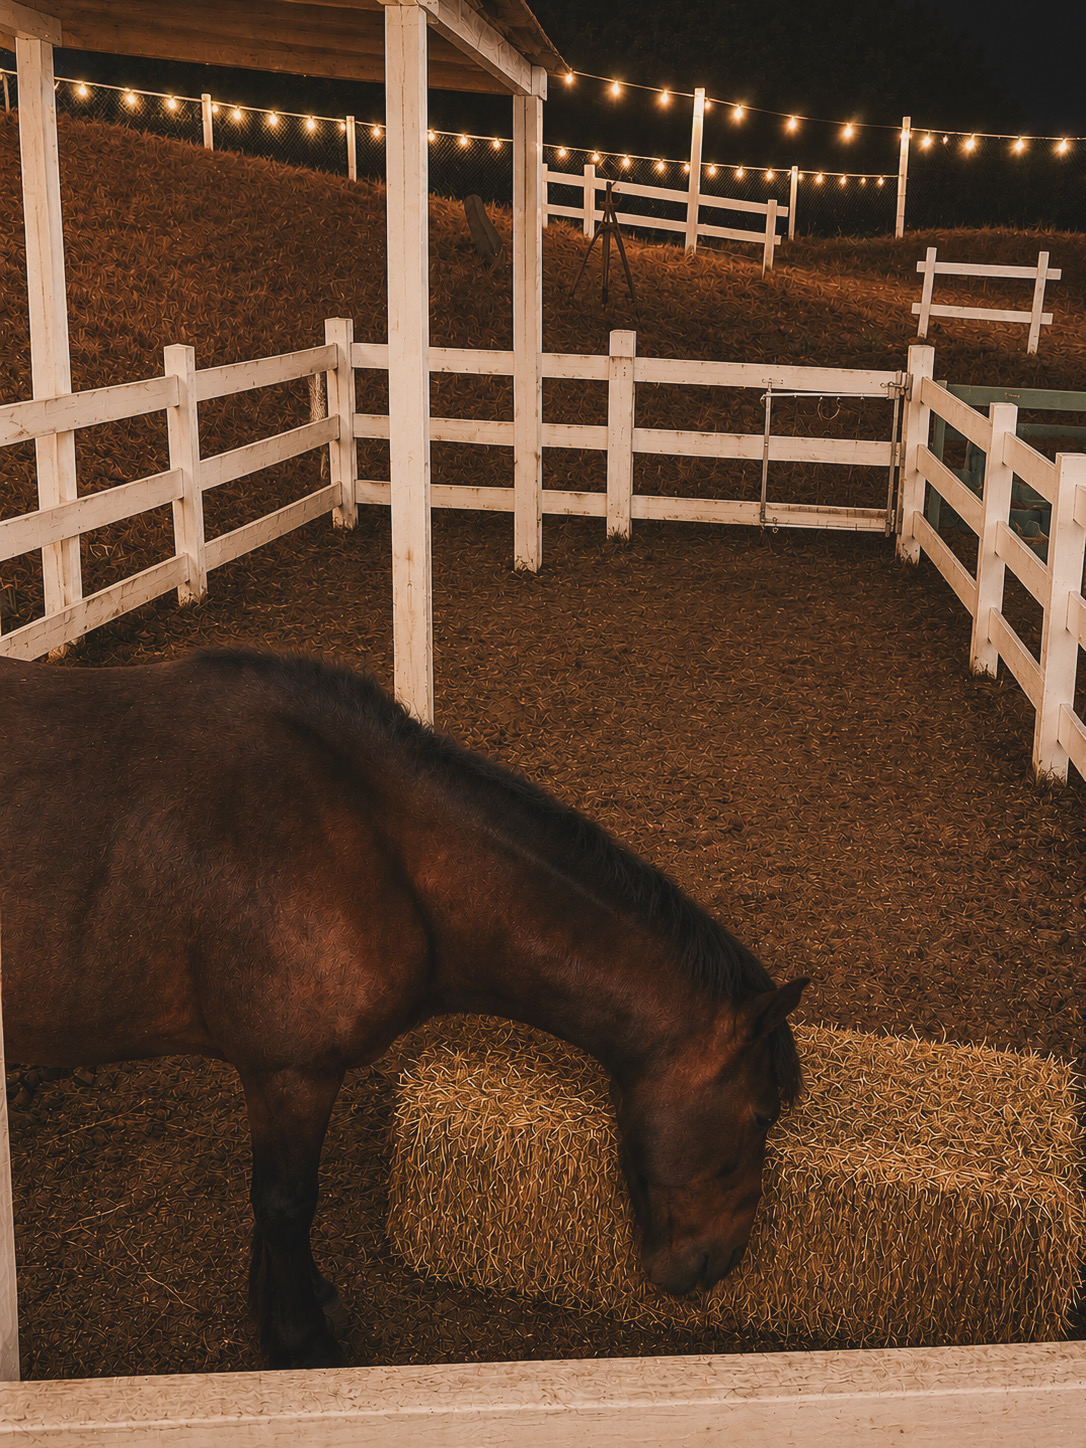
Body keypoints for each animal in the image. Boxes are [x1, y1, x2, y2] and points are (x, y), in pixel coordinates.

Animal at [0, 647, 808, 1369]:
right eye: (761, 1115)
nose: (721, 1263)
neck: (376, 849)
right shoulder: (289, 1072)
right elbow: (286, 1204)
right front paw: (301, 1343)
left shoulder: (283, 1078)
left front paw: (302, 1303)